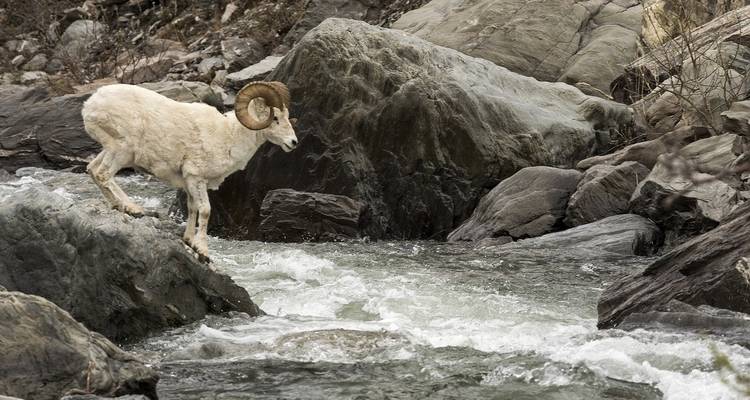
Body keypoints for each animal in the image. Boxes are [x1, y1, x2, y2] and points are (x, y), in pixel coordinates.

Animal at [82, 81, 298, 261]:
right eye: (275, 118)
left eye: (287, 116)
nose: (293, 143)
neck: (228, 136)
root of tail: (90, 105)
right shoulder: (196, 178)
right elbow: (205, 211)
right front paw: (203, 250)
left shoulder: (189, 183)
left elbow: (192, 209)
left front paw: (189, 241)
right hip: (122, 150)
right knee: (103, 174)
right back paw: (132, 208)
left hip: (111, 149)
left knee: (92, 170)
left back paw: (118, 206)